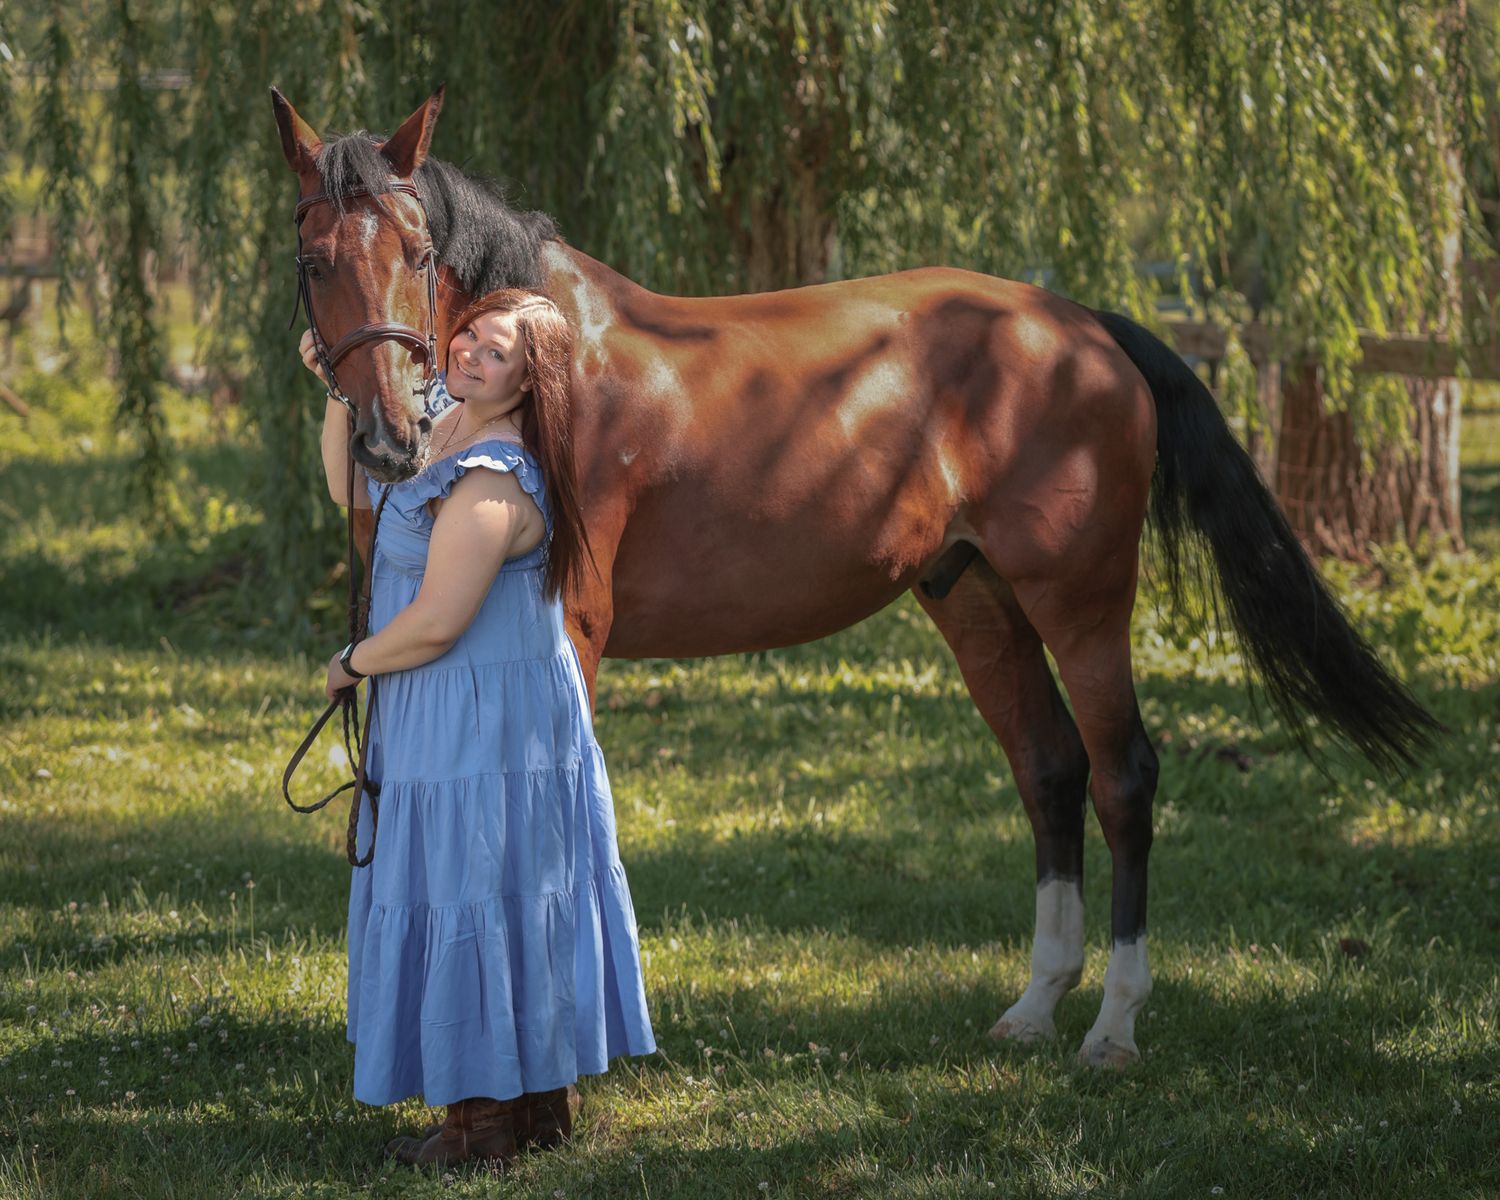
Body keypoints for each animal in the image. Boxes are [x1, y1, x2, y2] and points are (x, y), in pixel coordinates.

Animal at [271, 87, 1438, 1067]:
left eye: (420, 251)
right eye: (312, 259)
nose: (386, 438)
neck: (552, 357)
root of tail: (1086, 328)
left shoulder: (577, 626)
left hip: (1081, 602)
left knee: (1122, 777)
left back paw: (1112, 1026)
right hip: (976, 599)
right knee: (1049, 771)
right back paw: (1033, 1008)